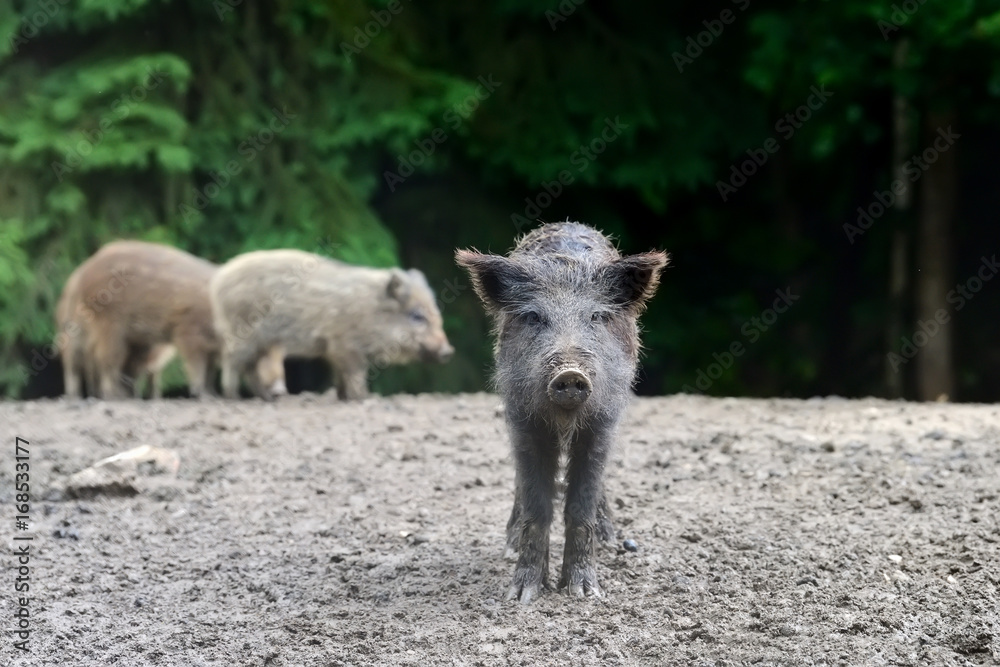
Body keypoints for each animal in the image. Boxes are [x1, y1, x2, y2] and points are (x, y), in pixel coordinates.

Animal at [55, 240, 220, 399]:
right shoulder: (188, 333)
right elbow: (197, 366)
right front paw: (204, 395)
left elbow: (209, 369)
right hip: (107, 324)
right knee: (99, 360)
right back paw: (106, 396)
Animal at [209, 249, 453, 400]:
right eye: (417, 316)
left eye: (436, 312)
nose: (448, 351)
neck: (370, 311)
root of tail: (219, 280)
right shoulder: (346, 345)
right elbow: (356, 373)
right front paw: (363, 398)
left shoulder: (334, 350)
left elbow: (341, 375)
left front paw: (344, 397)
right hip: (242, 334)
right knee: (230, 362)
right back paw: (234, 397)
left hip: (262, 342)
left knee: (250, 368)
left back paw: (267, 398)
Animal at [456, 221, 668, 603]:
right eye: (534, 317)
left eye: (596, 316)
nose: (570, 373)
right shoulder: (524, 421)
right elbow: (537, 506)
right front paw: (523, 596)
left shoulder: (602, 424)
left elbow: (580, 505)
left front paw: (584, 594)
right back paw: (510, 544)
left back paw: (609, 540)